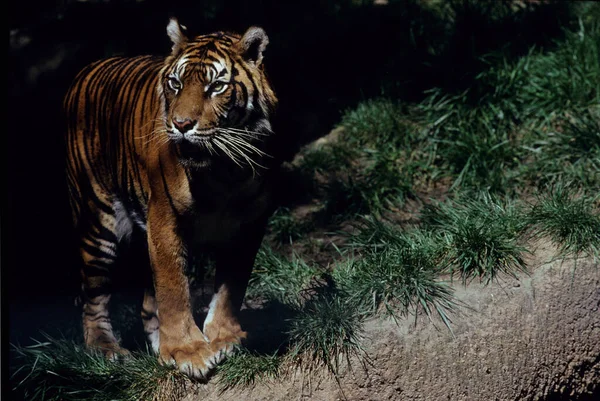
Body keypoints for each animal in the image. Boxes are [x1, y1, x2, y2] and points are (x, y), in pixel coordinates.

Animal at [64, 16, 280, 378]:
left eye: (216, 87)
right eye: (175, 84)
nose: (181, 124)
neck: (225, 174)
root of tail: (86, 69)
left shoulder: (251, 225)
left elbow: (231, 286)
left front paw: (222, 338)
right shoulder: (165, 219)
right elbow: (173, 288)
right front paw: (188, 352)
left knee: (145, 303)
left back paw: (157, 348)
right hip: (98, 221)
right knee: (93, 296)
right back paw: (107, 350)